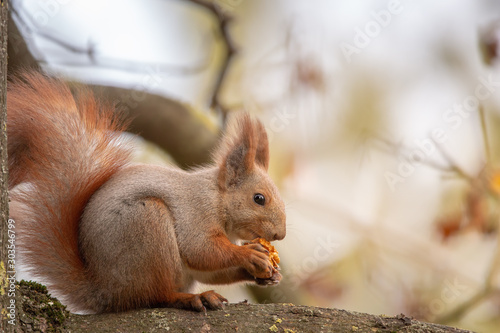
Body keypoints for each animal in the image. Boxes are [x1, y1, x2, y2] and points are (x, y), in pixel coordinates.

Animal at [7, 71, 288, 312]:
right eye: (259, 199)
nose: (280, 235)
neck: (217, 198)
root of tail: (104, 291)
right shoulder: (196, 212)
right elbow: (201, 250)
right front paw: (250, 254)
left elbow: (210, 270)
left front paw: (268, 275)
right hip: (147, 225)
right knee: (155, 296)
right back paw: (191, 298)